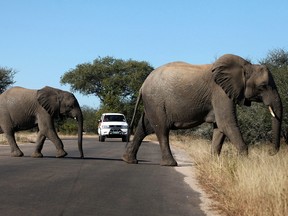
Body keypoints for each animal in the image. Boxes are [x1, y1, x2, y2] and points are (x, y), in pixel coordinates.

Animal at [122, 54, 282, 166]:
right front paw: (244, 165)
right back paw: (170, 164)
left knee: (144, 128)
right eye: (263, 86)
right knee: (161, 130)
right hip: (156, 102)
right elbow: (226, 123)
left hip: (152, 103)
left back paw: (129, 160)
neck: (246, 66)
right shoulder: (220, 92)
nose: (269, 152)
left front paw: (214, 164)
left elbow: (219, 128)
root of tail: (142, 85)